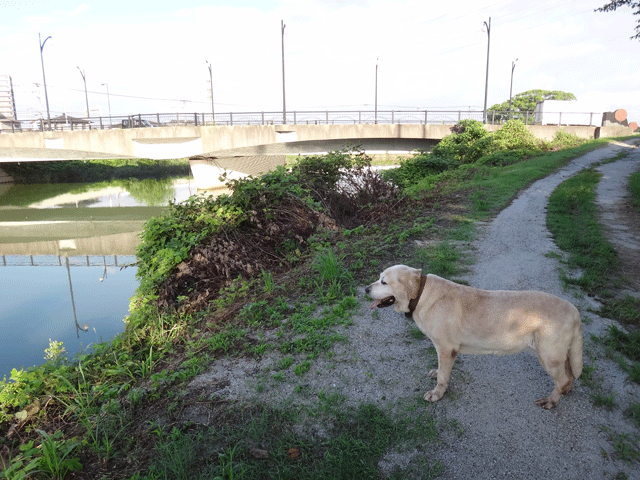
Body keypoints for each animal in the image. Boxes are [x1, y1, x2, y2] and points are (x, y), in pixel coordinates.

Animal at [364, 266, 580, 408]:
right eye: (379, 278)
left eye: (384, 281)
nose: (365, 289)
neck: (420, 294)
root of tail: (575, 311)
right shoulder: (442, 350)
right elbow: (440, 369)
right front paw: (436, 372)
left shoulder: (446, 349)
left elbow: (443, 377)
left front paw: (437, 393)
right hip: (560, 354)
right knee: (569, 374)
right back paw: (566, 390)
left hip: (548, 356)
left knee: (561, 379)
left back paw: (551, 401)